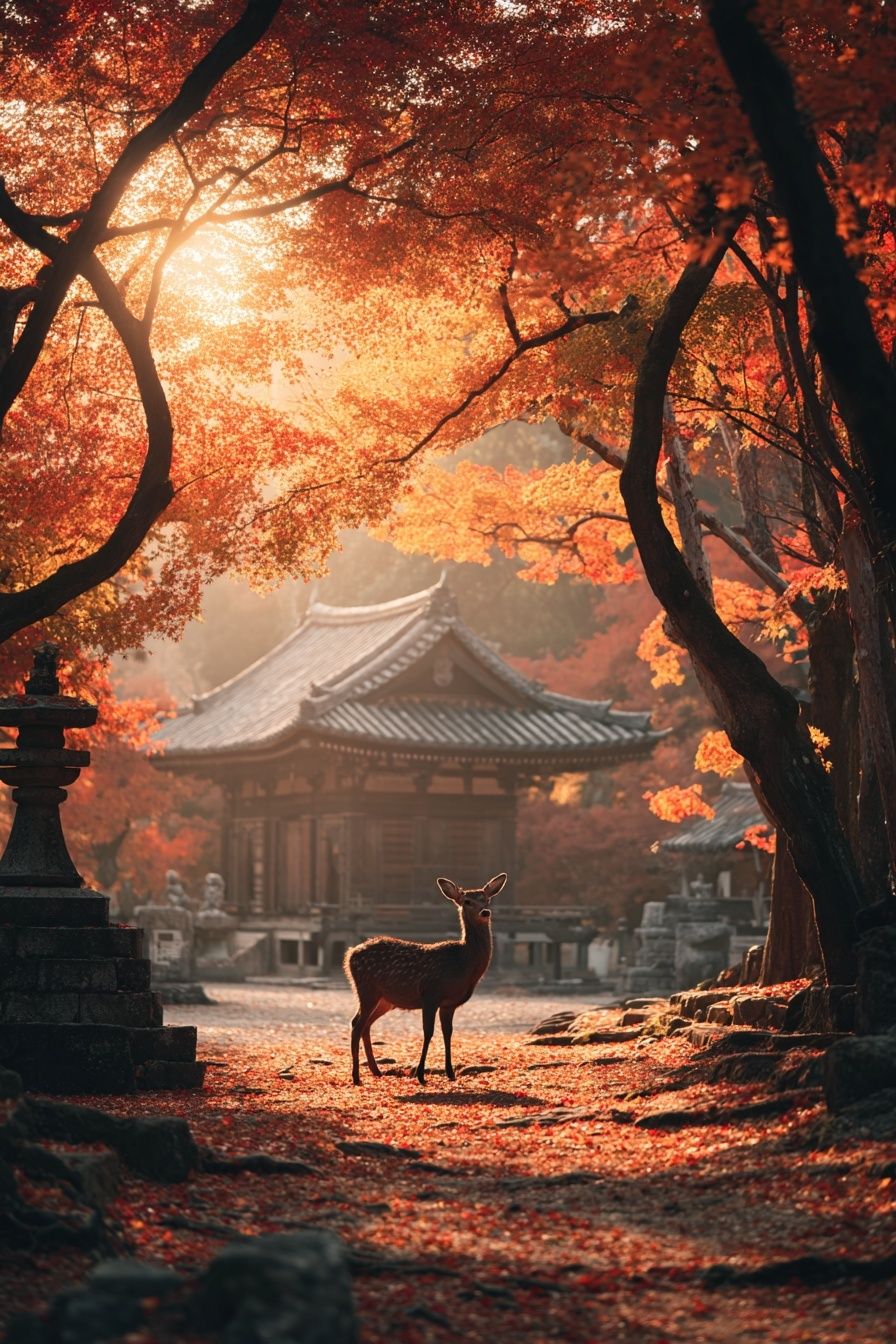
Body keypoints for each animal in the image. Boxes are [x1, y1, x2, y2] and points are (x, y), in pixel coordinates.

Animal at [344, 872, 507, 1086]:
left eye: (487, 899)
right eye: (467, 901)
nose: (485, 912)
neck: (462, 964)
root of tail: (350, 954)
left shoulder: (449, 1003)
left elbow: (448, 1032)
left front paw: (450, 1073)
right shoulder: (430, 994)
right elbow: (428, 1032)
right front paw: (421, 1075)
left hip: (385, 1000)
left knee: (365, 1024)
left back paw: (376, 1071)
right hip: (366, 989)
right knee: (357, 1024)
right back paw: (356, 1077)